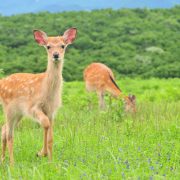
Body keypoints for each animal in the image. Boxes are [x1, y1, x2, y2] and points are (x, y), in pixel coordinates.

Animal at [0, 27, 76, 165]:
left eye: (62, 46)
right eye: (48, 46)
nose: (55, 55)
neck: (47, 91)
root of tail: (2, 82)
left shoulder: (51, 111)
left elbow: (51, 138)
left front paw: (50, 162)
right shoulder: (33, 107)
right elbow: (45, 124)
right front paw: (41, 153)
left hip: (18, 113)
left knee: (4, 129)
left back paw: (2, 160)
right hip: (9, 108)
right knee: (9, 134)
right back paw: (12, 164)